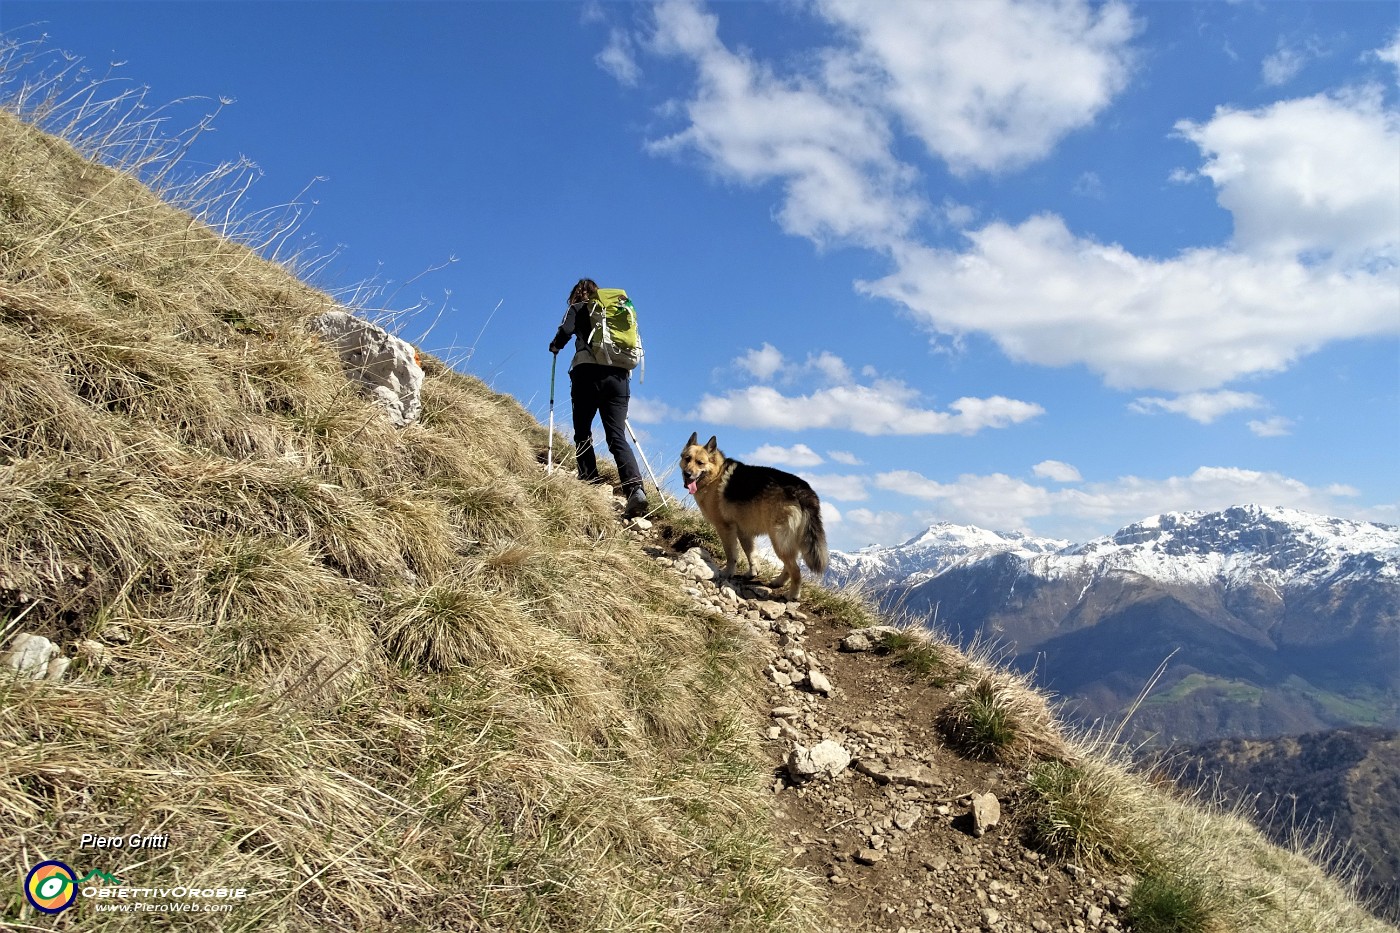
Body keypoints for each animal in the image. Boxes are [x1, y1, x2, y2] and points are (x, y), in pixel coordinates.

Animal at [680, 431, 823, 596]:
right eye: (687, 459)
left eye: (700, 463)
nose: (687, 474)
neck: (715, 475)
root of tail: (803, 490)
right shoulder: (744, 532)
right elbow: (751, 554)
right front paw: (752, 573)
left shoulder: (725, 528)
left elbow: (731, 554)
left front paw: (727, 573)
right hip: (787, 542)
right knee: (789, 567)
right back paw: (778, 582)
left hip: (779, 540)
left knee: (796, 571)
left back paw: (792, 594)